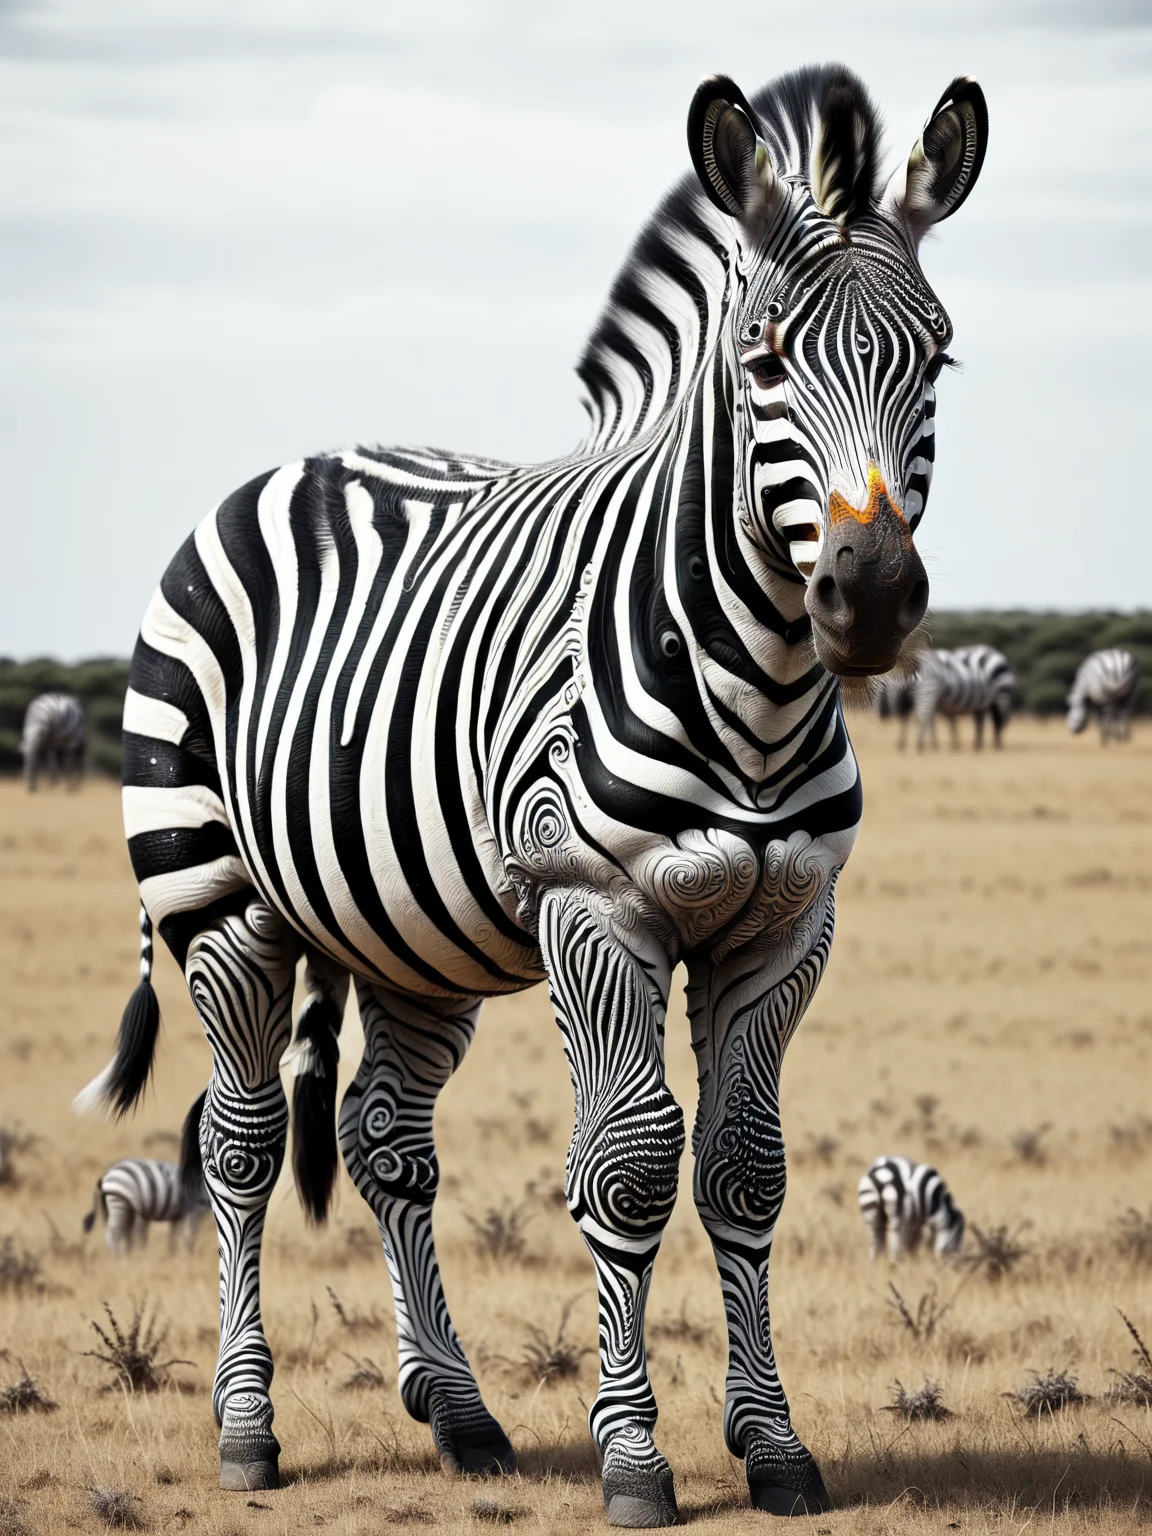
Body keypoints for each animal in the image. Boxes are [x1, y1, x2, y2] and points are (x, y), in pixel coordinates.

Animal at [74, 65, 987, 1522]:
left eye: (939, 357)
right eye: (764, 360)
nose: (873, 598)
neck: (760, 681)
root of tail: (297, 460)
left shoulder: (789, 923)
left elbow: (745, 1167)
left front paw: (775, 1448)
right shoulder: (595, 905)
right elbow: (627, 1166)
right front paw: (634, 1459)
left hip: (406, 940)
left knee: (383, 1140)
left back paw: (457, 1413)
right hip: (217, 899)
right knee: (240, 1145)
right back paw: (248, 1429)